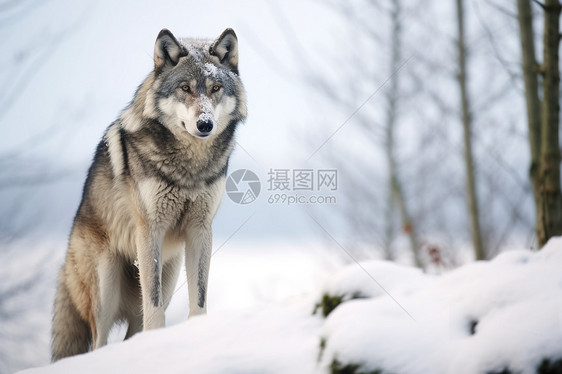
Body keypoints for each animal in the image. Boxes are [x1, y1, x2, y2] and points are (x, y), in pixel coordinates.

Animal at [49, 27, 245, 360]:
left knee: (132, 331)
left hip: (170, 273)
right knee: (99, 341)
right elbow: (153, 307)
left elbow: (199, 298)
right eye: (185, 88)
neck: (190, 167)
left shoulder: (200, 230)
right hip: (105, 284)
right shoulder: (150, 229)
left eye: (216, 87)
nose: (205, 124)